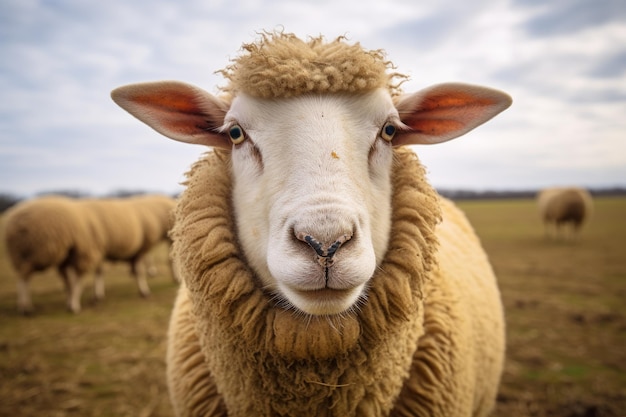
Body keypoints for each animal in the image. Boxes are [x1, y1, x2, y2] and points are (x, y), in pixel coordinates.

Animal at [4, 193, 176, 312]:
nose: (177, 280)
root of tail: (15, 222)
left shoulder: (98, 250)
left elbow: (98, 272)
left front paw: (96, 295)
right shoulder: (96, 249)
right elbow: (138, 272)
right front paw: (144, 291)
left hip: (32, 254)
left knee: (32, 276)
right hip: (43, 251)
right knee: (26, 277)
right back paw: (31, 307)